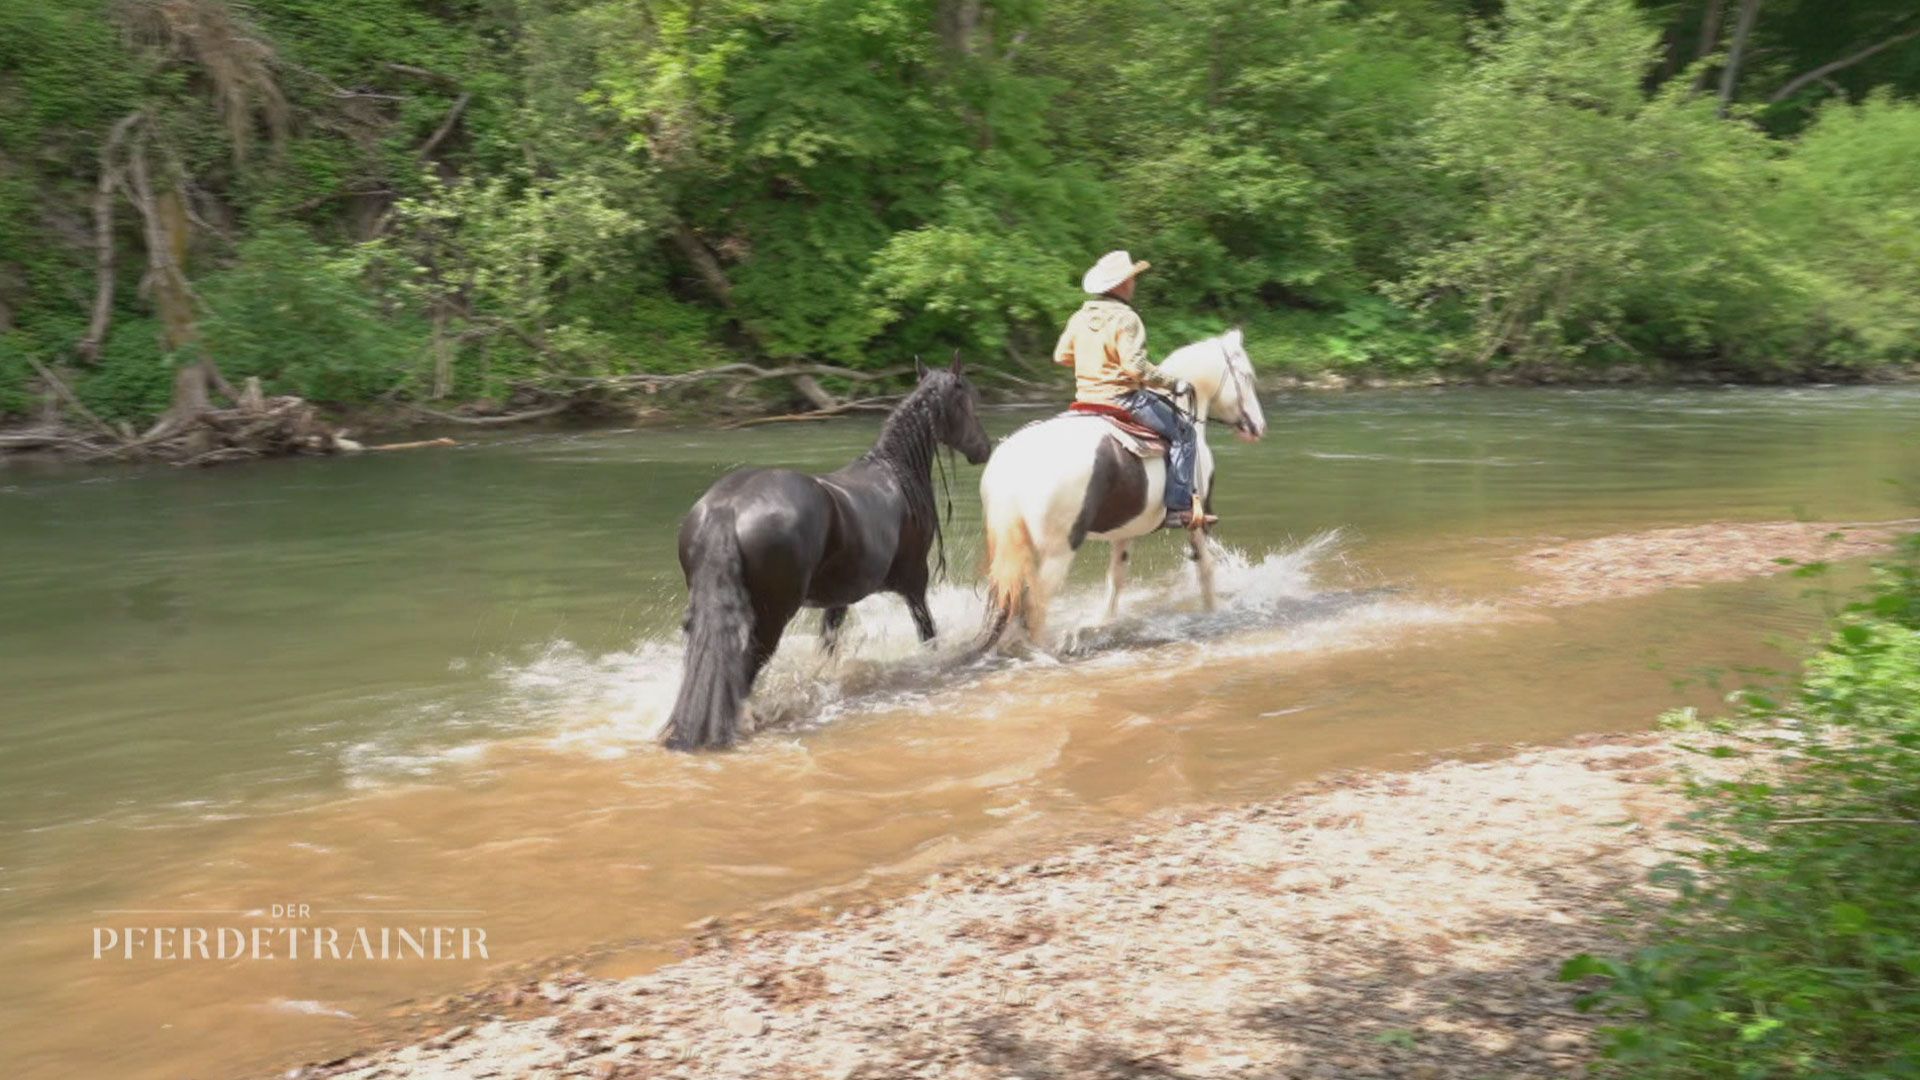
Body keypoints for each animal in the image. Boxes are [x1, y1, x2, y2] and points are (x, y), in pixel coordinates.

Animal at [660, 353, 990, 749]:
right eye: (968, 400)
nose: (985, 448)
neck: (896, 473)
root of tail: (727, 509)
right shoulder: (915, 584)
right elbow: (929, 636)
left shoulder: (839, 599)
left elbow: (828, 647)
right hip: (770, 619)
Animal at [983, 328, 1267, 645]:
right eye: (1247, 376)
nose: (1258, 426)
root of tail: (1014, 465)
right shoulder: (1197, 520)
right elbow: (1206, 569)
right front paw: (1213, 612)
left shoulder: (1125, 532)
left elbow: (1116, 579)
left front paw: (1102, 624)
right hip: (1058, 551)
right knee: (1034, 605)